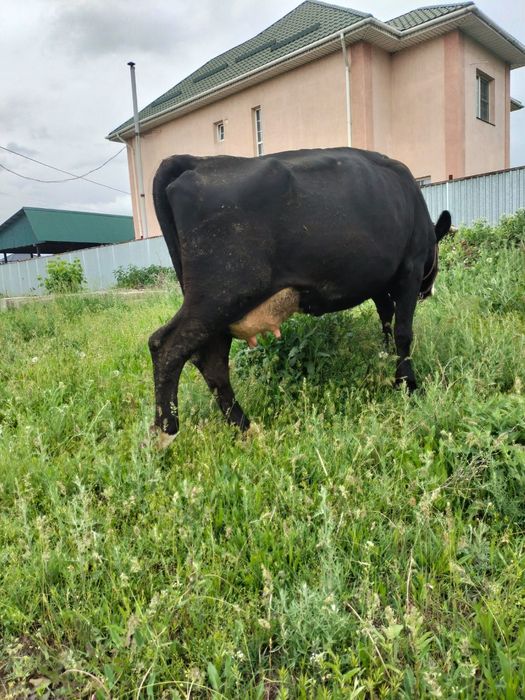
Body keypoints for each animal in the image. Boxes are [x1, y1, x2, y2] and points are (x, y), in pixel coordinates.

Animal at [149, 147, 451, 447]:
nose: (428, 291)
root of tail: (195, 161)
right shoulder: (410, 268)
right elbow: (403, 332)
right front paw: (408, 384)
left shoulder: (380, 282)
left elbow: (386, 319)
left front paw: (385, 356)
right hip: (222, 293)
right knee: (166, 346)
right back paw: (167, 431)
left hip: (217, 304)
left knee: (210, 359)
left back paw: (244, 427)